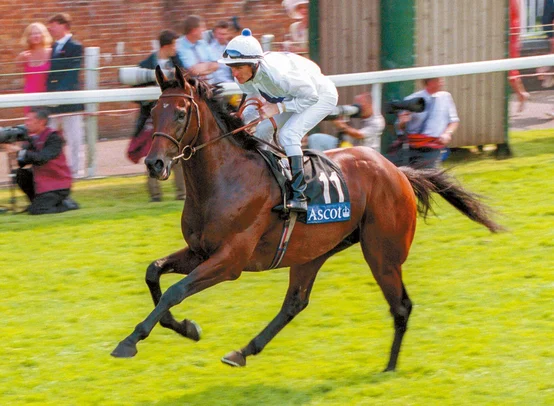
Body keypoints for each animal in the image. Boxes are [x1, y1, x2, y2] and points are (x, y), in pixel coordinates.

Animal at [111, 66, 500, 372]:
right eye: (153, 112)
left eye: (180, 113)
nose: (154, 164)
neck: (225, 180)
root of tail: (399, 172)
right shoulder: (200, 251)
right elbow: (154, 275)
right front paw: (184, 327)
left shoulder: (230, 260)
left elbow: (175, 291)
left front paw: (131, 341)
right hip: (312, 252)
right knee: (295, 303)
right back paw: (243, 351)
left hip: (382, 253)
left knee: (401, 305)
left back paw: (389, 368)